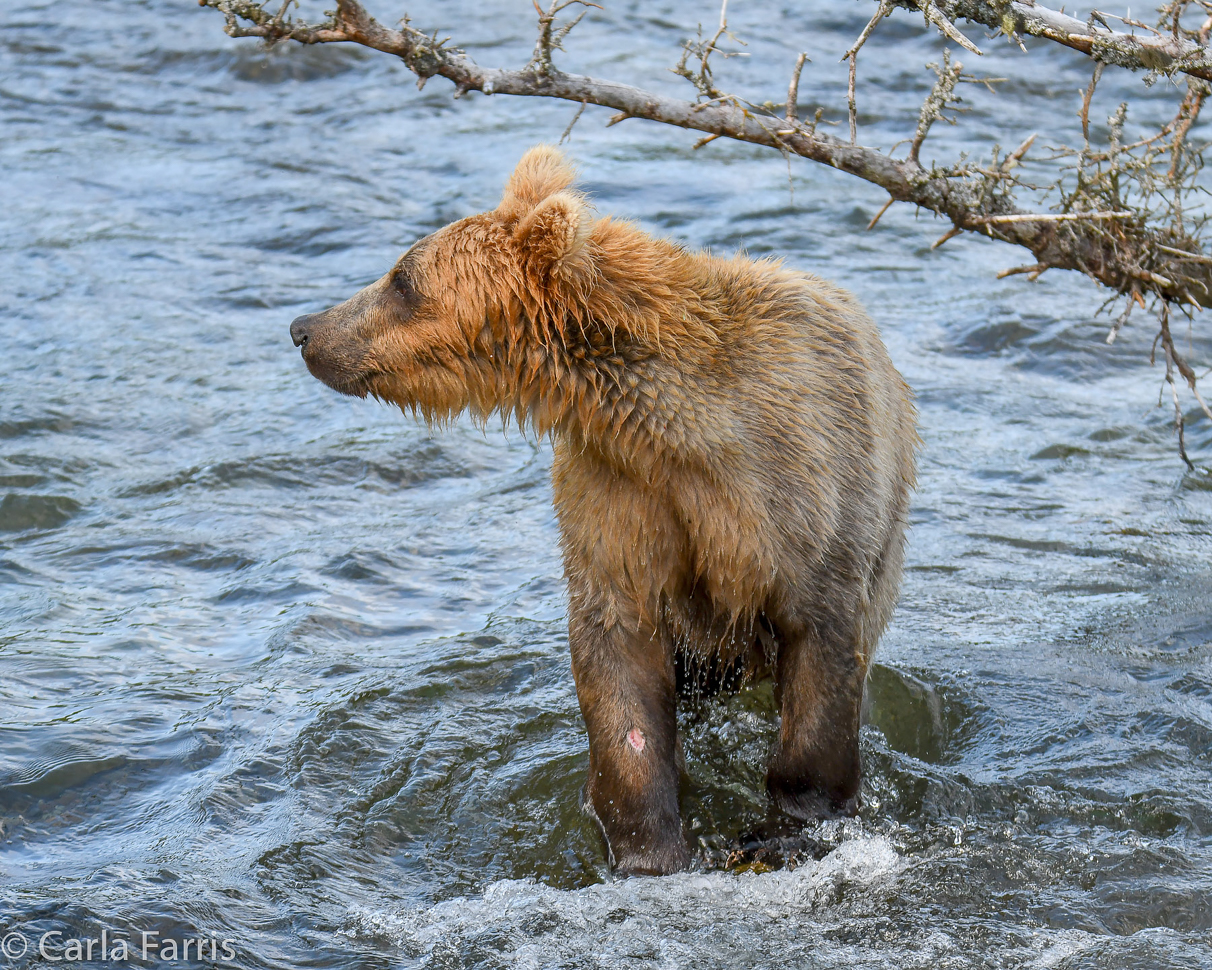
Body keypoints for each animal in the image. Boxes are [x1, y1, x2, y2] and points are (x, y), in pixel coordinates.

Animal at [288, 146, 911, 877]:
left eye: (402, 278)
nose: (304, 329)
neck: (679, 433)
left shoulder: (802, 493)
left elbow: (820, 659)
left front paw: (785, 827)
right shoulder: (619, 494)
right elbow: (618, 654)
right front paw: (648, 847)